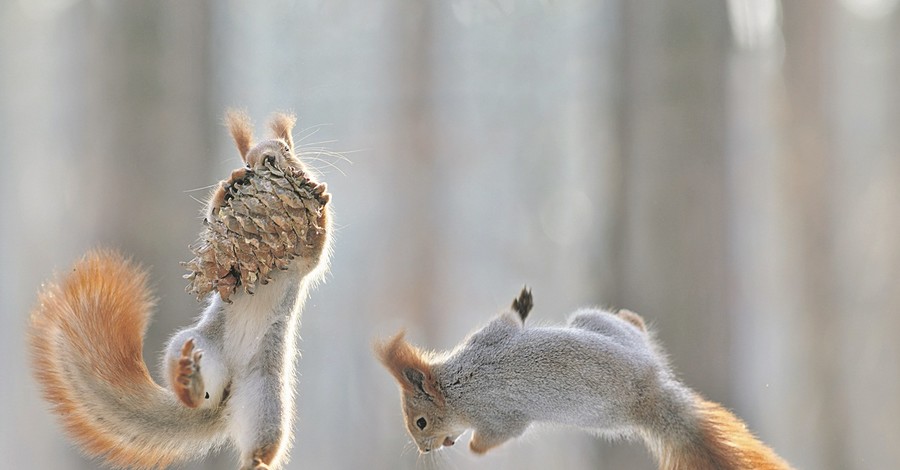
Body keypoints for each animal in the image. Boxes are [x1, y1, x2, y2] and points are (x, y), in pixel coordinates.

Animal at [28, 111, 332, 470]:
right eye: (247, 159)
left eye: (285, 148)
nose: (266, 159)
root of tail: (227, 394)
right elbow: (213, 217)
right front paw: (227, 186)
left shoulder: (305, 263)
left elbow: (317, 248)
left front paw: (319, 196)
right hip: (193, 345)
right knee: (191, 390)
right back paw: (188, 383)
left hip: (266, 399)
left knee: (261, 442)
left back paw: (254, 461)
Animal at [376, 286, 792, 470]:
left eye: (420, 423)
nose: (426, 451)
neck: (457, 384)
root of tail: (653, 388)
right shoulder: (487, 339)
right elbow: (509, 322)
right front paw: (521, 306)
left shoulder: (496, 414)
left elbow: (496, 437)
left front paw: (474, 449)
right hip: (602, 327)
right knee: (631, 325)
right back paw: (632, 319)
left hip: (604, 413)